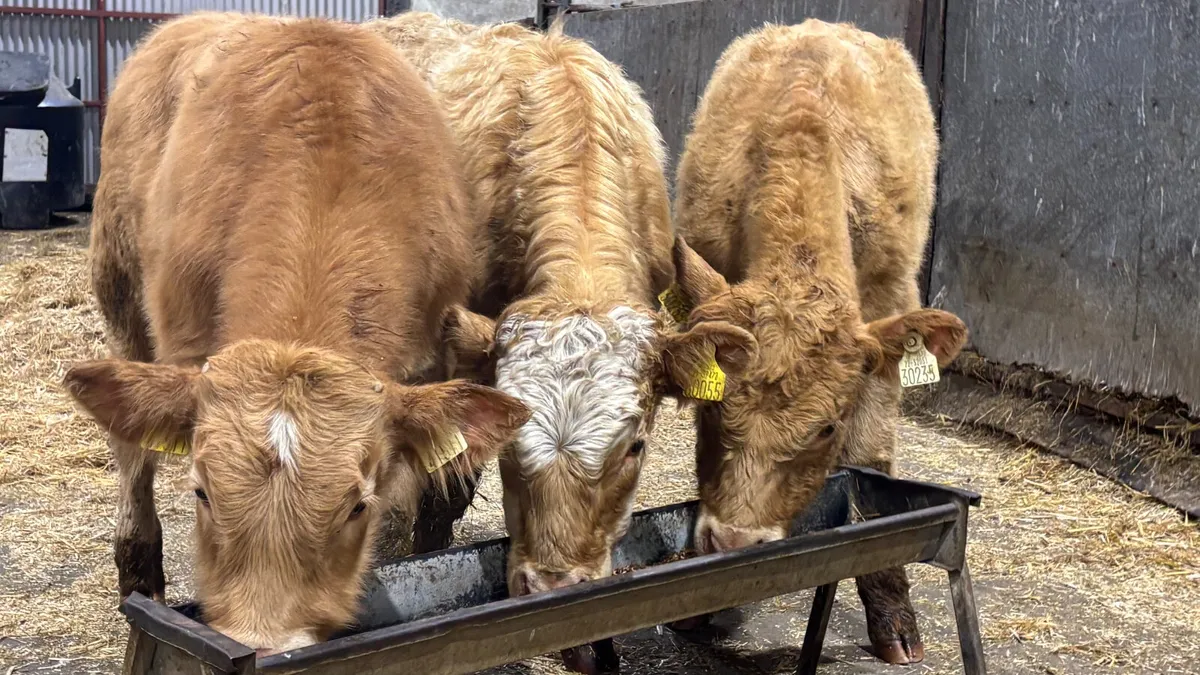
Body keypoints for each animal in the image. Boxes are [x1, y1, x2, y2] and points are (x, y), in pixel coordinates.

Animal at [664, 20, 968, 665]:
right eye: (711, 410)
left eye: (826, 428)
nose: (735, 539)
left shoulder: (887, 309)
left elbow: (871, 459)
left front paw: (893, 616)